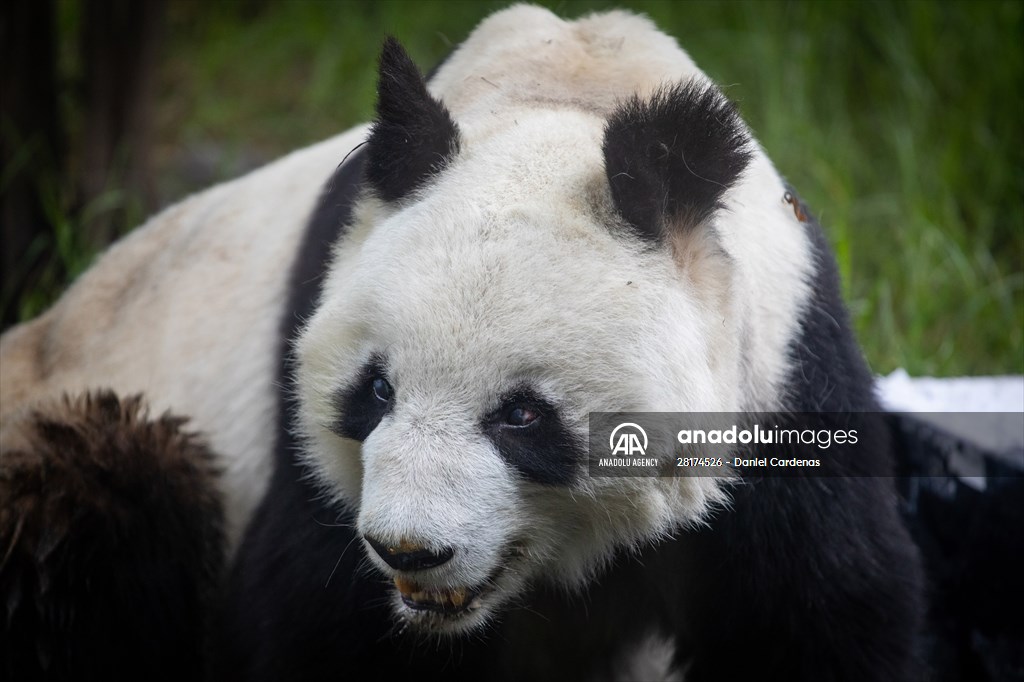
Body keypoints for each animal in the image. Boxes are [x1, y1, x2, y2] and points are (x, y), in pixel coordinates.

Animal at [0, 6, 925, 679]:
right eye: (376, 390)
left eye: (522, 415)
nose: (406, 550)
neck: (568, 98)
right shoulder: (310, 446)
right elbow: (306, 616)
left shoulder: (782, 383)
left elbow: (820, 612)